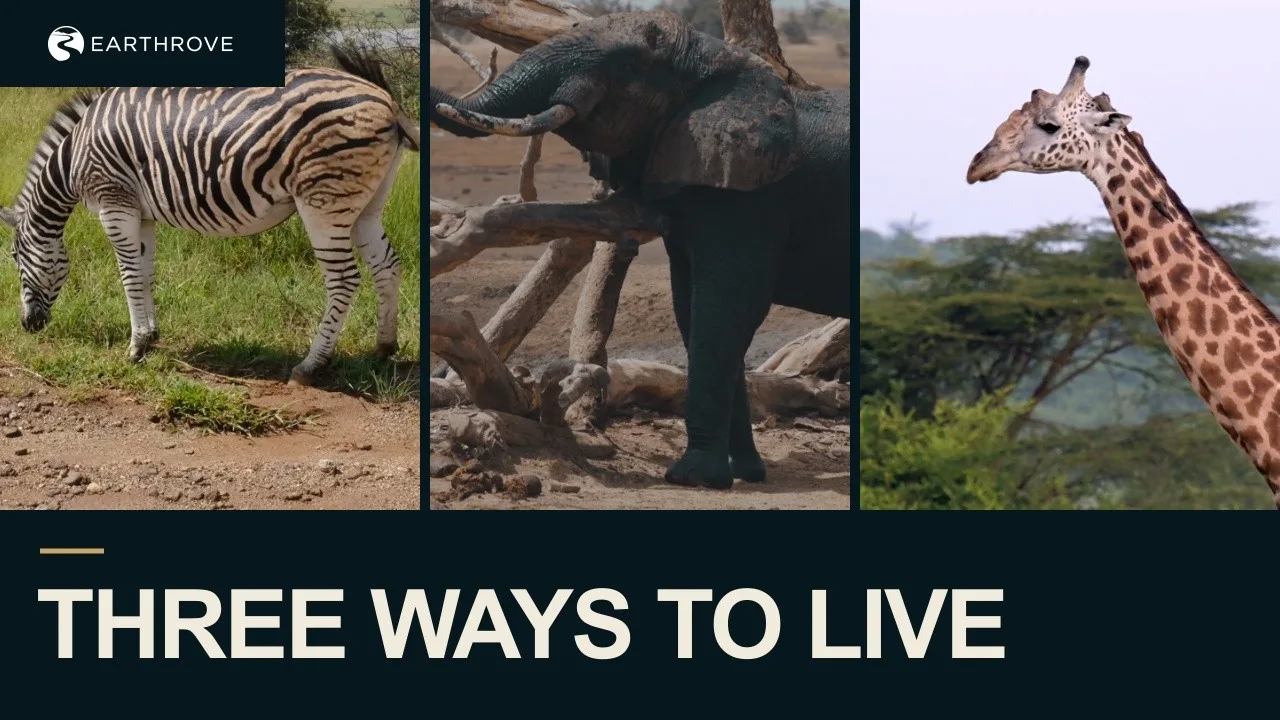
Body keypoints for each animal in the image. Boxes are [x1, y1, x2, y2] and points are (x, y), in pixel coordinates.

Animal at [0, 46, 420, 386]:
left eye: (15, 257)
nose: (28, 325)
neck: (75, 154)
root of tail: (387, 100)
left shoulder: (113, 201)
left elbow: (129, 276)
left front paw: (135, 348)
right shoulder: (142, 212)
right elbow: (146, 273)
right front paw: (151, 338)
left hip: (323, 199)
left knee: (344, 280)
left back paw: (311, 365)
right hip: (366, 204)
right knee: (387, 266)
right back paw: (384, 348)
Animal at [431, 11, 851, 490]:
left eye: (629, 65)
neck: (717, 60)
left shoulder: (753, 200)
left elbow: (724, 311)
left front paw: (692, 477)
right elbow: (694, 311)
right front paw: (744, 473)